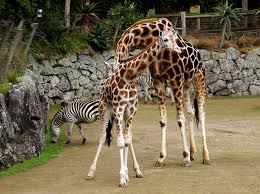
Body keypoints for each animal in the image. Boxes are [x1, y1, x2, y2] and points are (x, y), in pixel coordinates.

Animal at [86, 29, 181, 187]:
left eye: (175, 37)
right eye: (166, 39)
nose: (179, 50)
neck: (129, 76)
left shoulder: (131, 109)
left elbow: (127, 140)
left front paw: (128, 174)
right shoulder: (118, 107)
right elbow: (120, 142)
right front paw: (122, 179)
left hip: (123, 114)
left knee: (127, 138)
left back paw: (134, 171)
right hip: (104, 108)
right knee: (102, 136)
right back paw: (90, 172)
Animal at [115, 17, 210, 167]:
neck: (151, 37)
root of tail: (199, 54)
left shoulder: (175, 82)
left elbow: (180, 119)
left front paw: (185, 158)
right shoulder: (158, 83)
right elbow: (163, 120)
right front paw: (161, 158)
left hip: (199, 79)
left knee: (201, 113)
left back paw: (205, 156)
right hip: (186, 86)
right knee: (191, 111)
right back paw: (192, 152)